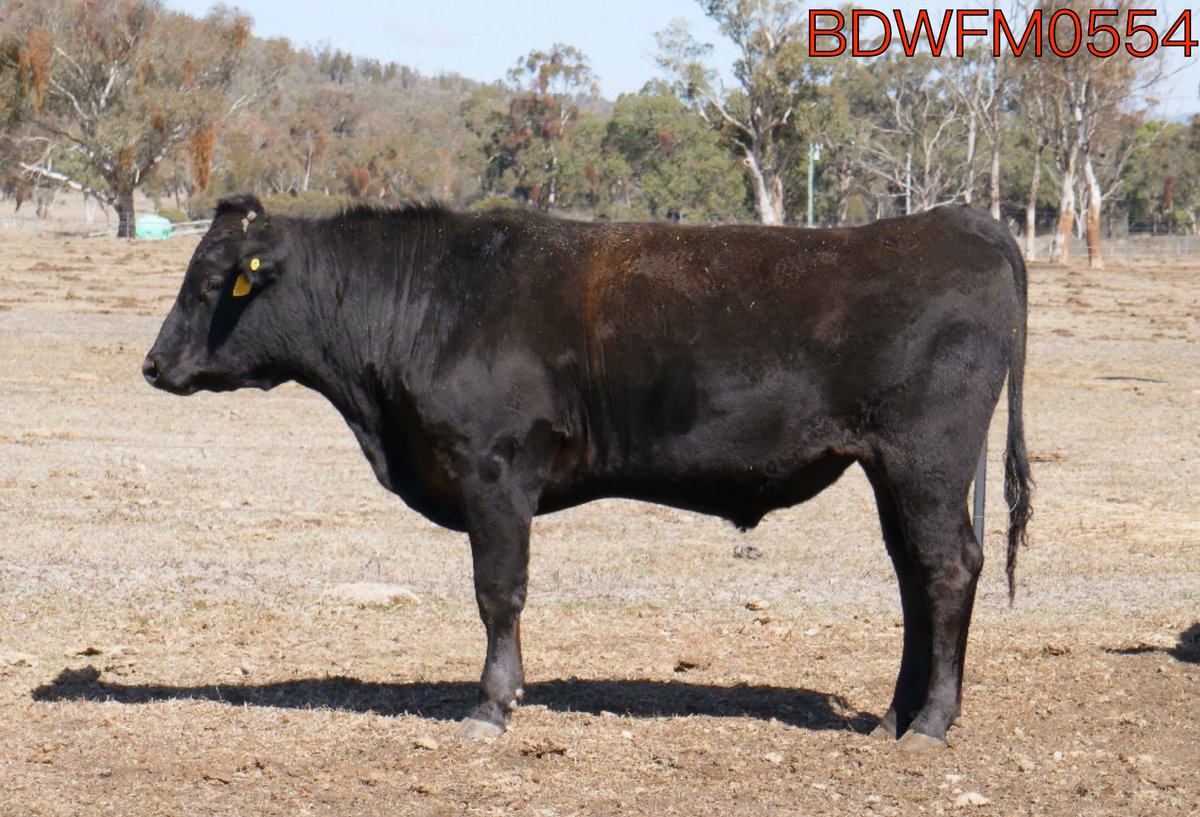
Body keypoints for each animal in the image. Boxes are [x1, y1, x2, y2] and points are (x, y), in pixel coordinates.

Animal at [143, 195, 1032, 749]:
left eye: (210, 281)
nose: (152, 365)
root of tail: (959, 221)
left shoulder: (494, 469)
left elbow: (498, 593)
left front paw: (492, 704)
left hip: (927, 459)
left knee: (949, 568)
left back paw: (931, 722)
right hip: (891, 469)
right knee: (915, 577)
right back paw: (892, 715)